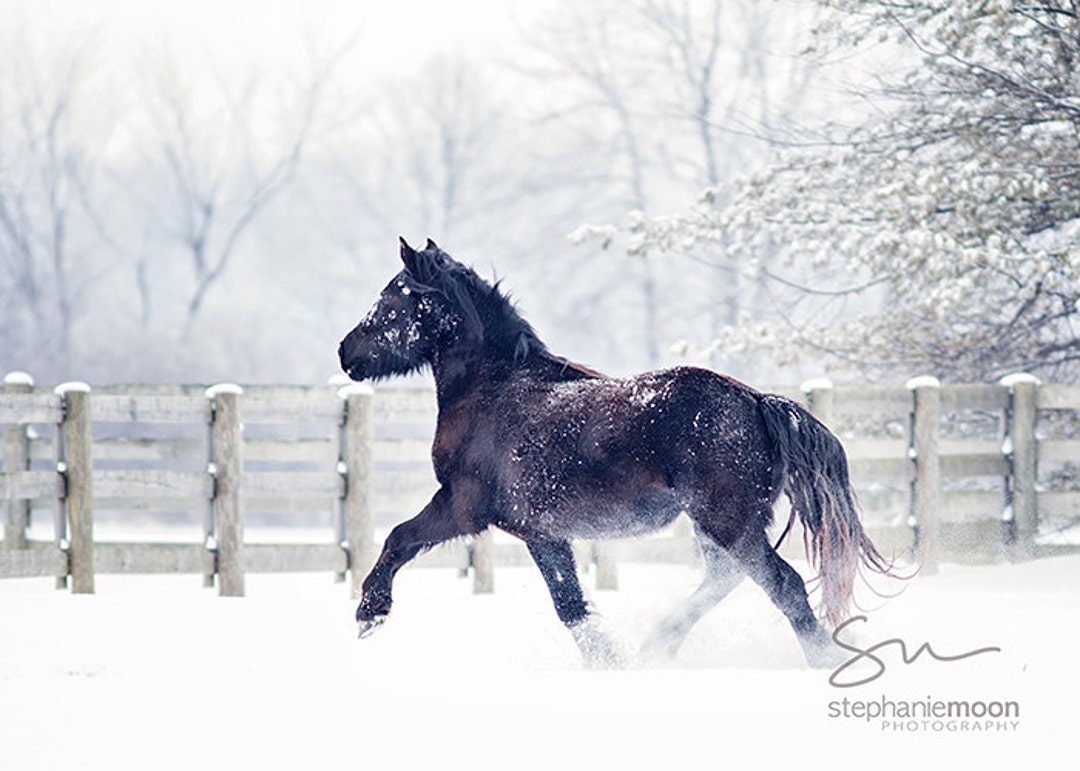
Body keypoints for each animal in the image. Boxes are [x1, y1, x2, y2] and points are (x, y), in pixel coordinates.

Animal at [341, 237, 889, 665]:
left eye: (390, 302)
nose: (346, 353)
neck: (493, 390)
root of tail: (755, 401)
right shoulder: (541, 533)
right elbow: (570, 605)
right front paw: (609, 662)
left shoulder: (462, 506)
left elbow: (398, 538)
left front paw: (370, 613)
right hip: (722, 523)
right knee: (725, 577)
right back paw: (657, 646)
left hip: (727, 520)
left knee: (784, 585)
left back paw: (821, 660)